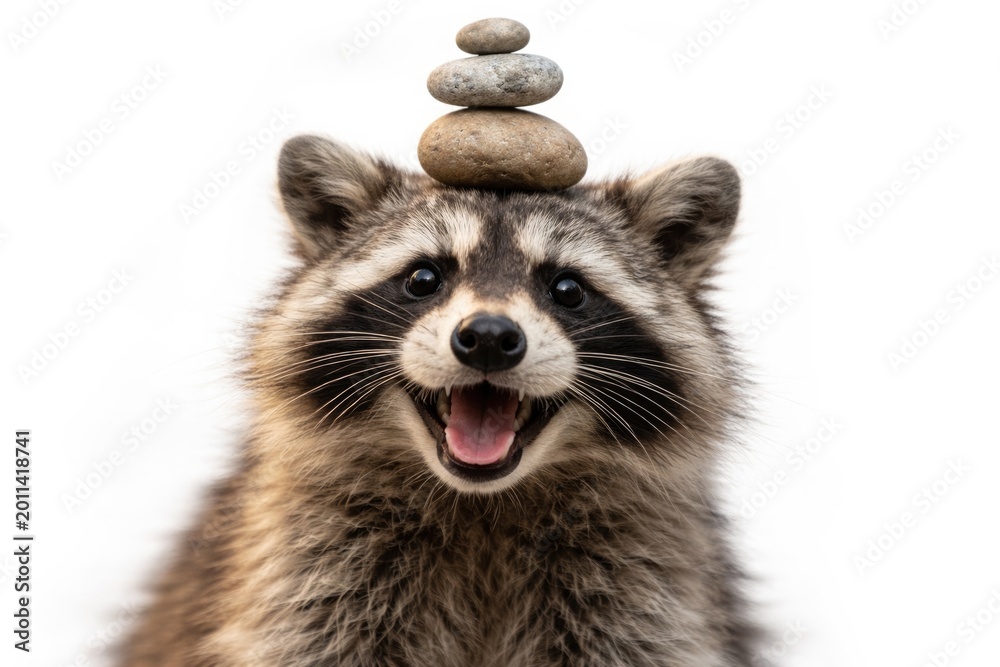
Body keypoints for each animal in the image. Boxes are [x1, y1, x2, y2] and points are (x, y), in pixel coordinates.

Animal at [121, 135, 759, 666]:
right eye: (424, 279)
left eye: (568, 289)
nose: (490, 337)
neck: (485, 506)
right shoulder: (310, 572)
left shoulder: (638, 588)